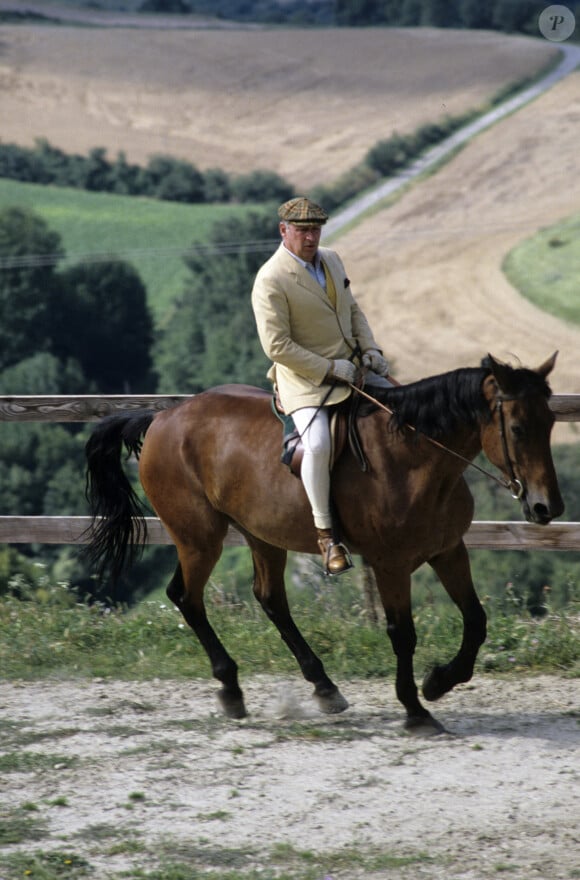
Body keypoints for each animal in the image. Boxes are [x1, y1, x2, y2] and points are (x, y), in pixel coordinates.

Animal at [85, 354, 560, 732]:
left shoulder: (448, 551)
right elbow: (402, 633)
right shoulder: (390, 563)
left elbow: (476, 621)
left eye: (552, 422)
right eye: (518, 428)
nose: (546, 506)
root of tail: (163, 418)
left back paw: (323, 686)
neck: (416, 458)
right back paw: (231, 686)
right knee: (186, 596)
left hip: (261, 534)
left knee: (270, 599)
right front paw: (415, 709)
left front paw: (438, 682)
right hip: (199, 538)